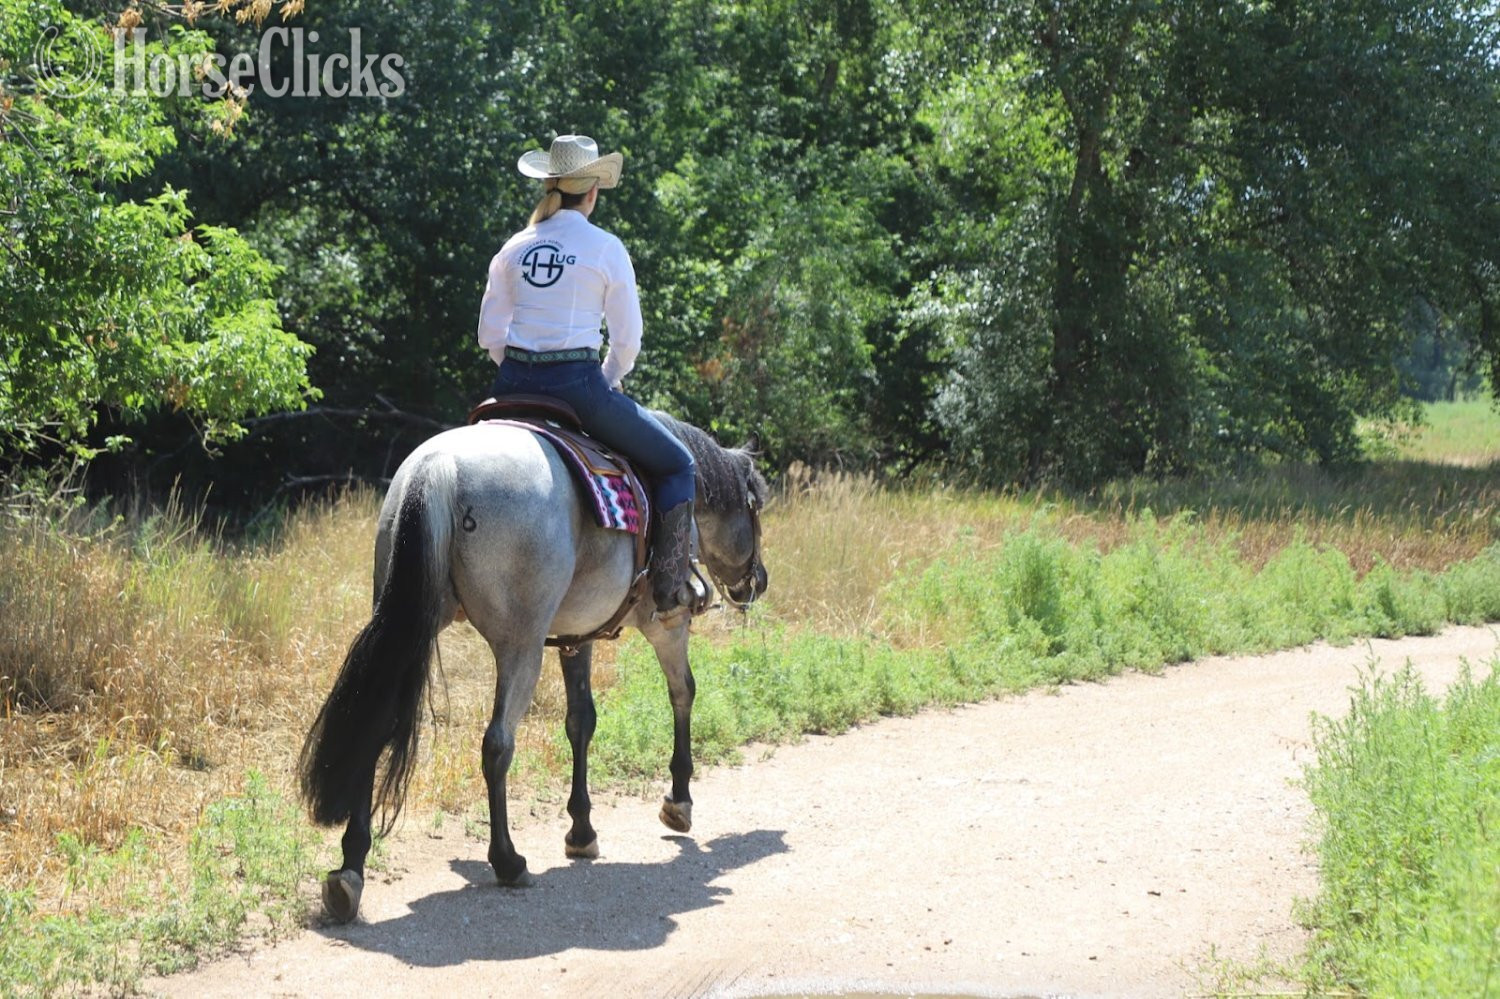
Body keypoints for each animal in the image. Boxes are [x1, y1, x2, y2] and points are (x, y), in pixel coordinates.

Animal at [297, 413, 768, 923]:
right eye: (756, 508)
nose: (757, 582)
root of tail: (439, 467)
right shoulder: (668, 623)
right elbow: (682, 690)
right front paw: (679, 801)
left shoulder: (576, 636)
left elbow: (581, 721)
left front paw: (581, 830)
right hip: (520, 644)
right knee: (498, 744)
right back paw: (507, 860)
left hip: (406, 624)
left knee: (375, 726)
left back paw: (349, 871)